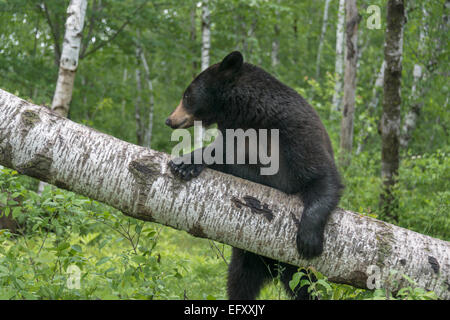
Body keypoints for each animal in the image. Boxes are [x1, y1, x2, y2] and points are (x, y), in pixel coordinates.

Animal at [165, 51, 344, 298]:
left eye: (187, 95)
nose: (169, 119)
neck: (251, 116)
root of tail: (272, 267)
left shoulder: (295, 131)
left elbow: (321, 176)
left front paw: (308, 239)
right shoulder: (238, 142)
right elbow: (224, 157)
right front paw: (186, 163)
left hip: (295, 269)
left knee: (306, 287)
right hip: (245, 255)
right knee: (239, 280)